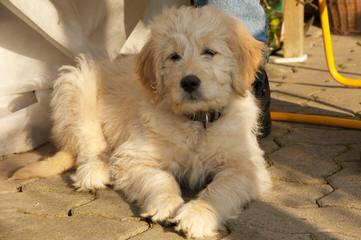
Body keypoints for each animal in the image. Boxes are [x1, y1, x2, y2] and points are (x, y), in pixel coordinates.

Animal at [14, 5, 272, 238]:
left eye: (209, 52)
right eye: (174, 56)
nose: (189, 82)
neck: (196, 122)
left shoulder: (246, 167)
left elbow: (220, 190)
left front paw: (197, 215)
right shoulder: (135, 157)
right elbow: (160, 178)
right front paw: (166, 203)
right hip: (76, 85)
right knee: (89, 142)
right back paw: (94, 171)